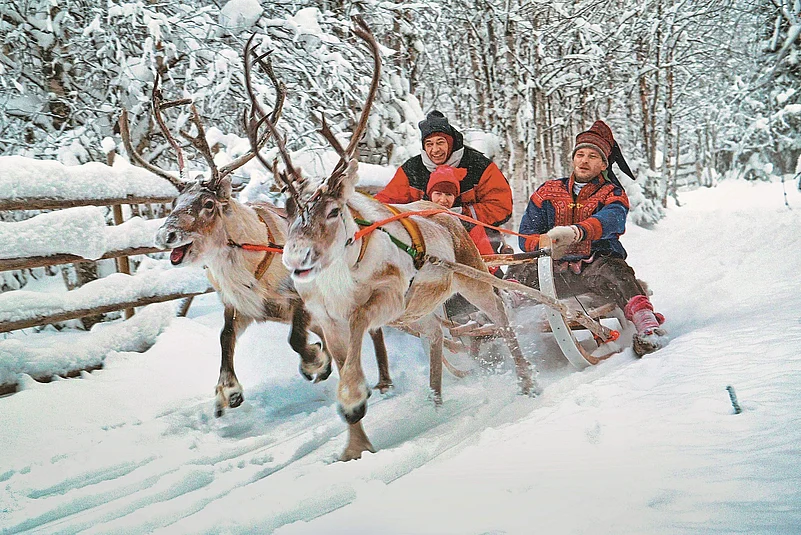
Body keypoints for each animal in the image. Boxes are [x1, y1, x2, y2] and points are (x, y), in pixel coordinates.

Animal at [119, 39, 390, 418]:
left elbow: (296, 338)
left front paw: (316, 362)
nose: (164, 235)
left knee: (374, 330)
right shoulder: (242, 308)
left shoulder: (300, 301)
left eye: (208, 204)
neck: (249, 261)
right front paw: (227, 392)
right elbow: (223, 337)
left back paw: (382, 382)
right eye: (174, 202)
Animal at [251, 17, 539, 461]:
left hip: (469, 277)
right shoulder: (328, 318)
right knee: (437, 334)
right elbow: (341, 358)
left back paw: (525, 381)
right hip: (419, 311)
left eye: (333, 211)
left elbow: (356, 347)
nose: (296, 259)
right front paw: (354, 446)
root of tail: (446, 213)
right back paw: (435, 401)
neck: (343, 275)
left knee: (501, 313)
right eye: (287, 212)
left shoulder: (384, 299)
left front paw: (354, 399)